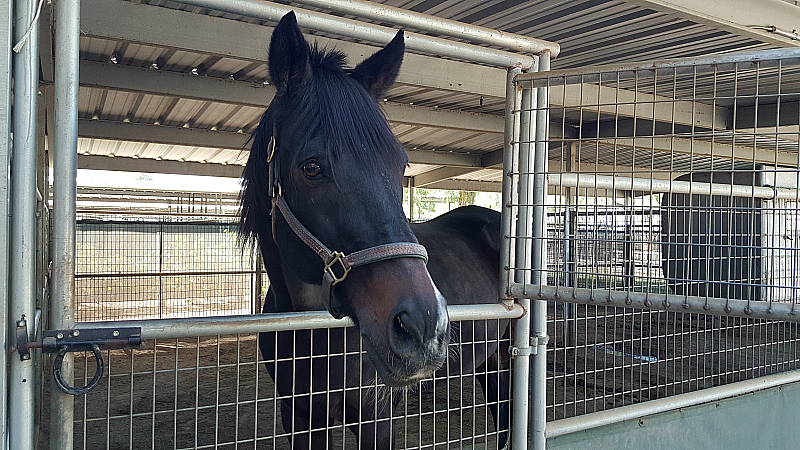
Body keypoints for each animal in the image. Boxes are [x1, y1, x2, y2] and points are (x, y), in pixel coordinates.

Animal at [241, 12, 510, 448]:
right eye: (311, 167)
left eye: (399, 163)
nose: (422, 325)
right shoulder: (298, 416)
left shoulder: (375, 414)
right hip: (492, 359)